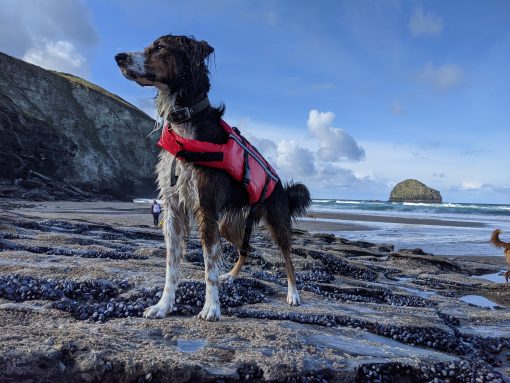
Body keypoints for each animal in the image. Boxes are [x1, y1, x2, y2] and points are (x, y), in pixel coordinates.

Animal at [116, 34, 312, 320]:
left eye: (160, 47)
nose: (118, 57)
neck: (185, 123)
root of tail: (282, 188)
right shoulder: (173, 209)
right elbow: (171, 266)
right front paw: (163, 305)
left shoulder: (206, 207)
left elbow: (209, 267)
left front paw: (211, 308)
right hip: (229, 223)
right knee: (246, 248)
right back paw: (231, 275)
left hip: (276, 219)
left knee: (287, 256)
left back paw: (293, 293)